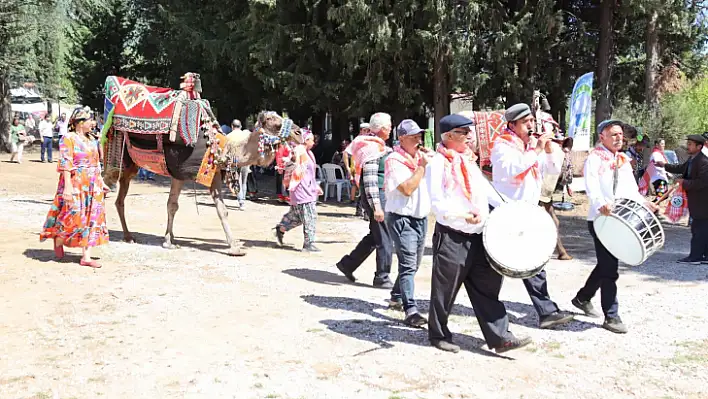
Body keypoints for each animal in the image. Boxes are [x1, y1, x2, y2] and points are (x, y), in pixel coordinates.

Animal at [101, 72, 302, 256]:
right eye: (272, 121)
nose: (299, 132)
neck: (221, 147)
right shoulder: (188, 171)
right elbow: (192, 207)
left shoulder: (200, 174)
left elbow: (198, 207)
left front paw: (170, 240)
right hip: (117, 156)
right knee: (104, 185)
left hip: (130, 167)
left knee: (119, 198)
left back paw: (128, 236)